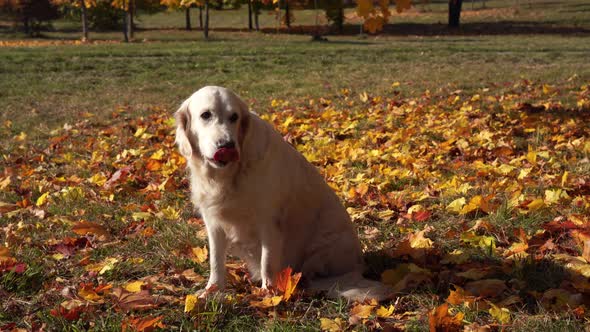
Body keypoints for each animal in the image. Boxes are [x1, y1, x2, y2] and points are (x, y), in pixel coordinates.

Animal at [173, 85, 390, 300]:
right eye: (206, 115)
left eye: (234, 117)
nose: (227, 145)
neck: (228, 175)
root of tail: (359, 264)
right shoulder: (214, 222)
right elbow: (216, 261)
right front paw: (212, 290)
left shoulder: (269, 222)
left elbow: (267, 262)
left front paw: (269, 295)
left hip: (323, 248)